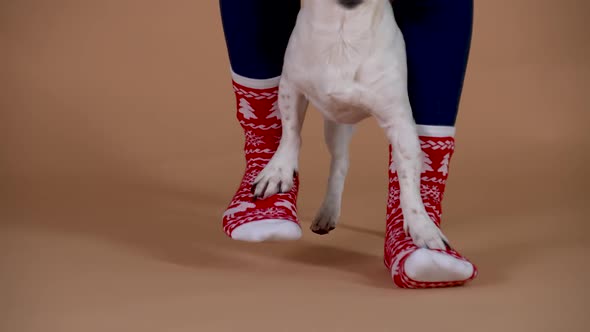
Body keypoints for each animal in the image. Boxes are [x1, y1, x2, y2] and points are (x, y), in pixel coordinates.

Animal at [252, 0, 450, 249]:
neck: (343, 32)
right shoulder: (290, 87)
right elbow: (291, 133)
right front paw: (278, 171)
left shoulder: (399, 121)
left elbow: (408, 180)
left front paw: (422, 227)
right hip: (335, 126)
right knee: (340, 162)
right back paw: (328, 211)